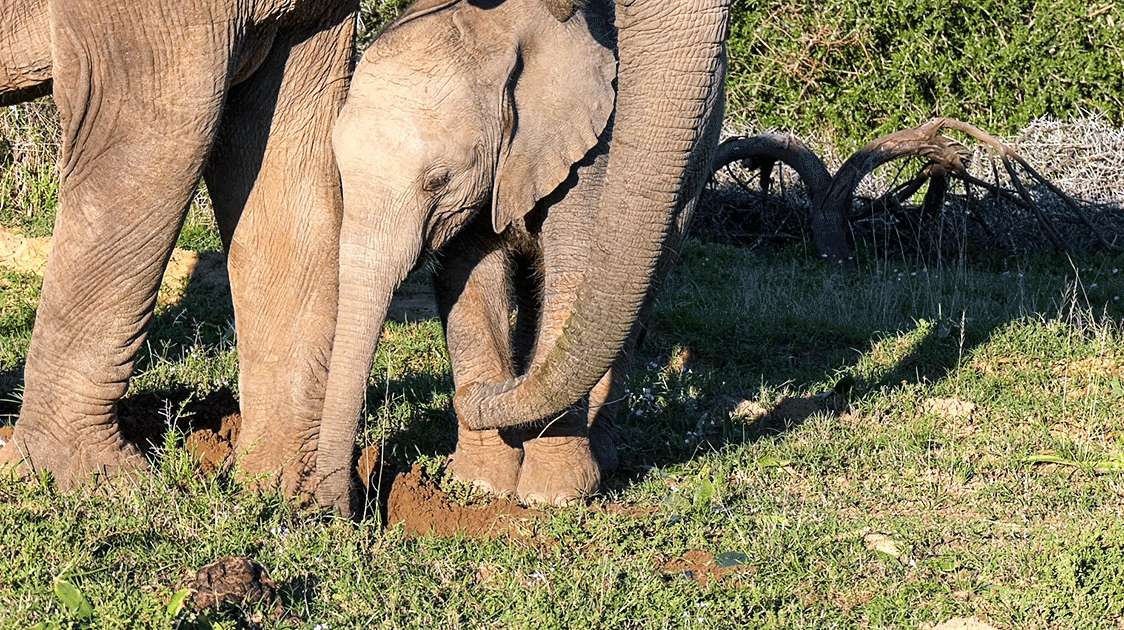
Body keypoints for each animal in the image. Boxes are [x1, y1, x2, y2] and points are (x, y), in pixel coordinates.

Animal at [316, 0, 728, 517]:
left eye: (438, 180)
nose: (349, 508)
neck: (501, 32)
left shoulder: (589, 145)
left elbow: (577, 266)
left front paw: (555, 495)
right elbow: (467, 276)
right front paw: (480, 484)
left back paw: (598, 454)